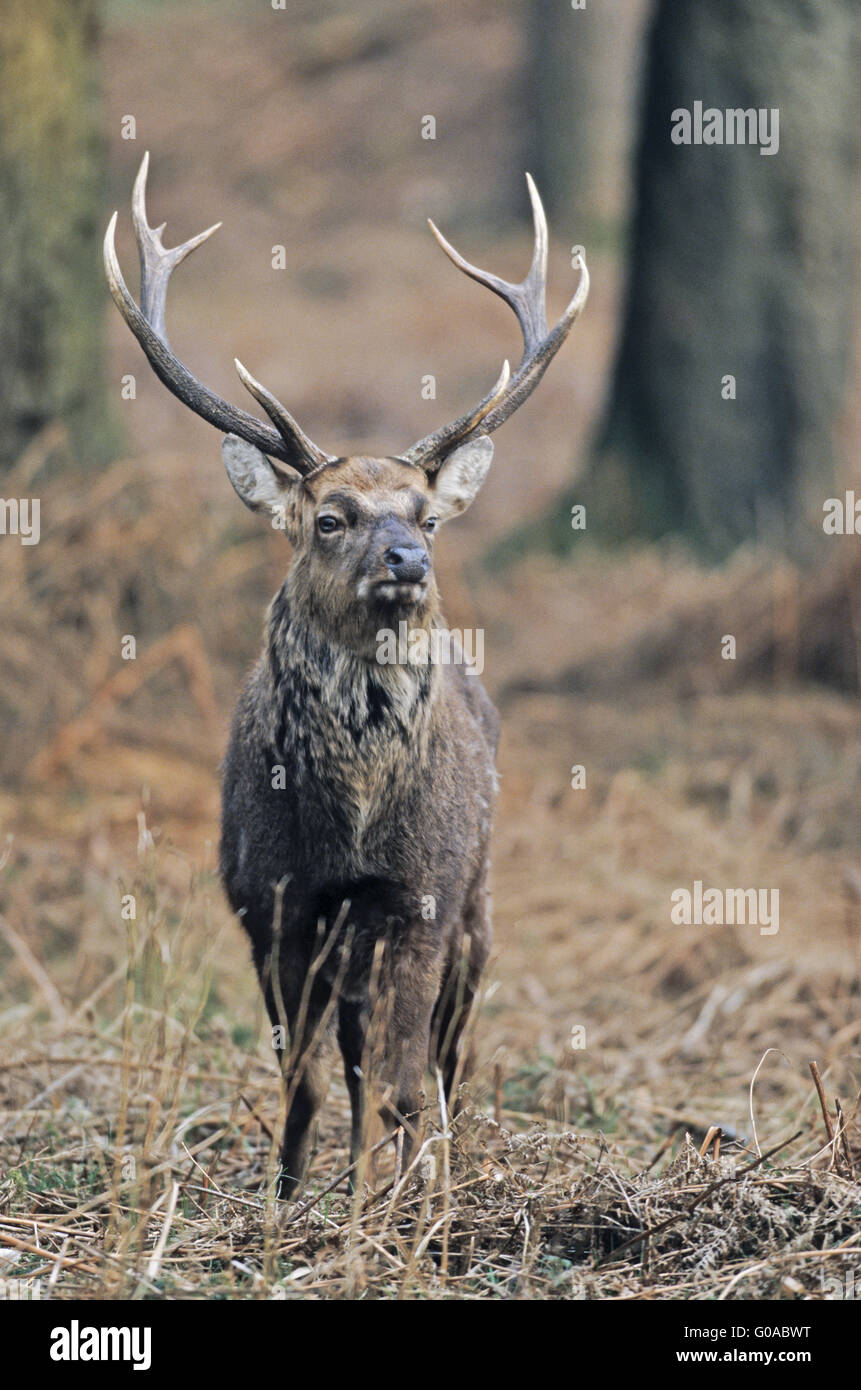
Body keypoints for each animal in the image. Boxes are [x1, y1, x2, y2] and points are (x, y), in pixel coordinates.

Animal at [104, 154, 589, 1197]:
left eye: (427, 513)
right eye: (330, 517)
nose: (408, 558)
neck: (353, 820)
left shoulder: (419, 894)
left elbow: (406, 1082)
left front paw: (410, 1210)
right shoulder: (270, 901)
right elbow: (306, 1081)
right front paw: (289, 1202)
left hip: (477, 901)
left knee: (440, 1059)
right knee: (361, 1056)